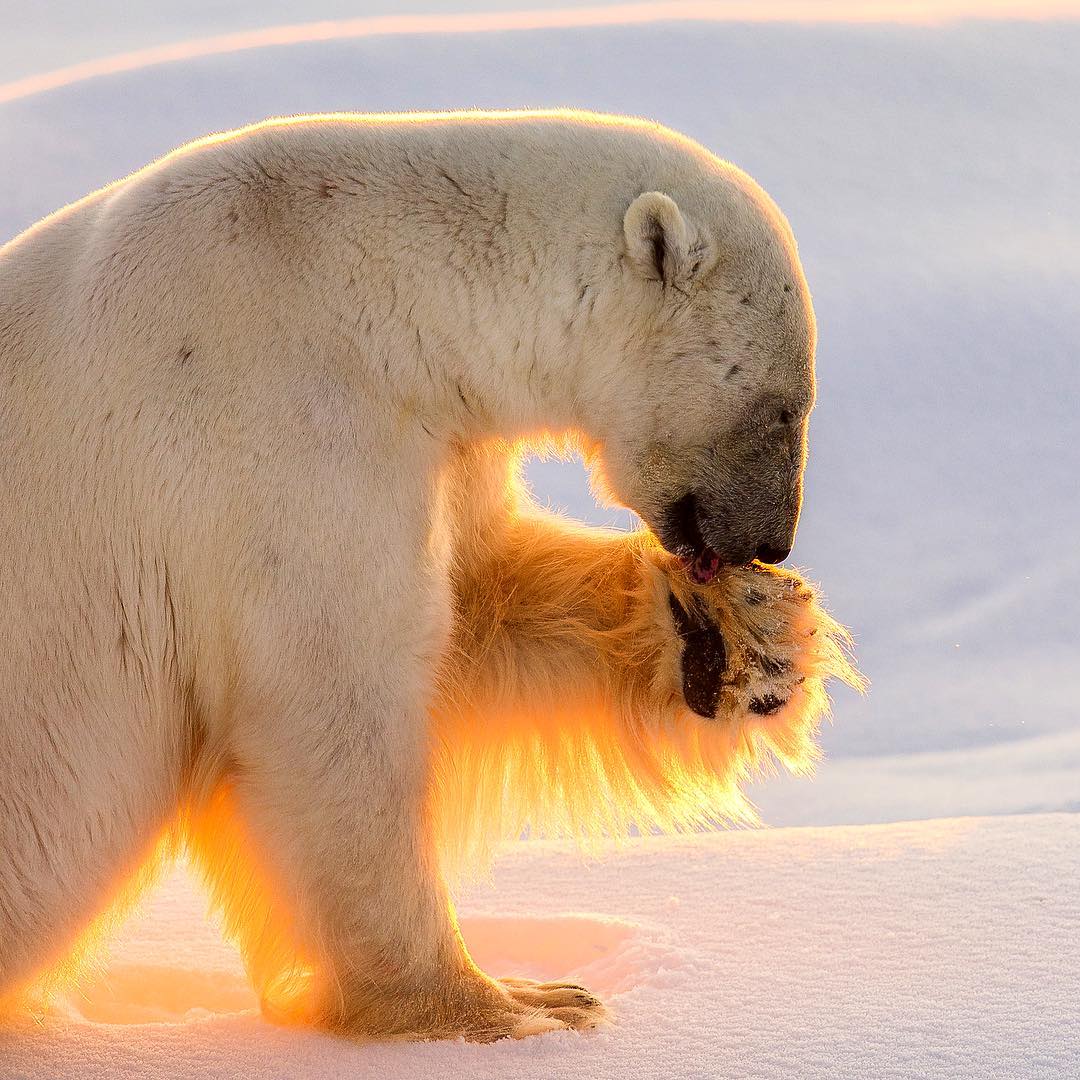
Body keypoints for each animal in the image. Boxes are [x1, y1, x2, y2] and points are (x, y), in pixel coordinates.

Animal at [0, 109, 859, 1036]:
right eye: (784, 407)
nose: (772, 542)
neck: (354, 283)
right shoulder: (280, 442)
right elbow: (334, 709)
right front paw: (501, 1007)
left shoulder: (438, 441)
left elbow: (481, 611)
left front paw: (744, 635)